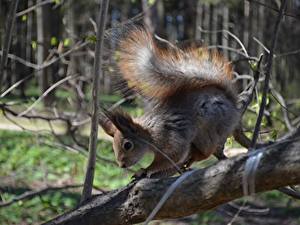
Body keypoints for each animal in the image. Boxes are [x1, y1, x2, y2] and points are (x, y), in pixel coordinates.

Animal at [99, 25, 240, 178]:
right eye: (113, 147)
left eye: (127, 145)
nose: (122, 165)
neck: (149, 133)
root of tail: (232, 104)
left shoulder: (169, 138)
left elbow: (173, 155)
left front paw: (146, 170)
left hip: (209, 129)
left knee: (205, 152)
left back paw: (193, 158)